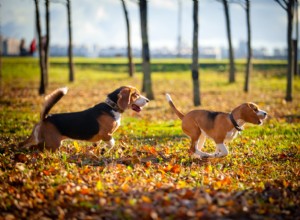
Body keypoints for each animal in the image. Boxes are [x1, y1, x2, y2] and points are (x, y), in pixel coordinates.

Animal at [19, 86, 149, 151]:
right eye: (135, 95)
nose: (148, 100)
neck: (112, 107)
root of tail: (45, 117)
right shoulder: (106, 134)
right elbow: (112, 143)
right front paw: (105, 150)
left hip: (36, 139)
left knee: (23, 144)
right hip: (53, 143)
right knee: (37, 148)